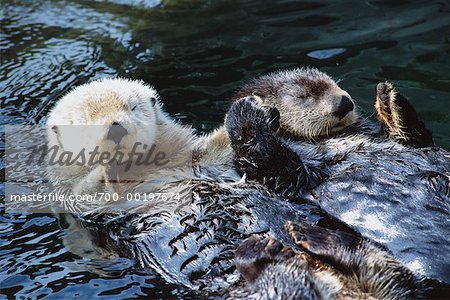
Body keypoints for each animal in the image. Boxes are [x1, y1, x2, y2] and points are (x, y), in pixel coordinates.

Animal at [225, 70, 450, 284]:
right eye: (301, 96)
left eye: (332, 83)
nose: (344, 102)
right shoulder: (290, 177)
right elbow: (273, 168)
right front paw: (247, 112)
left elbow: (416, 139)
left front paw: (389, 99)